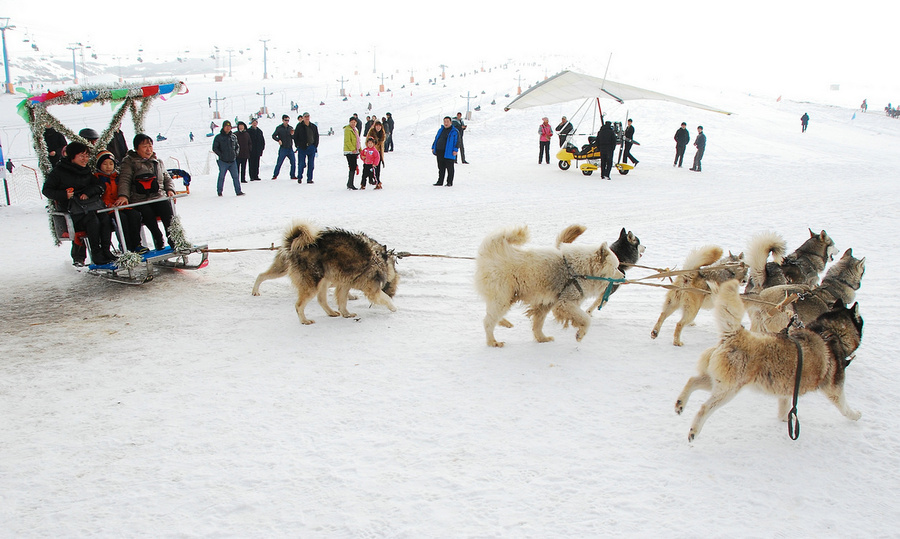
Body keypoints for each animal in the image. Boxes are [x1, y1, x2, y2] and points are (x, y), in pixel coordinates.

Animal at [250, 220, 398, 324]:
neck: (380, 258)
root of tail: (295, 244)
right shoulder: (370, 288)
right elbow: (384, 298)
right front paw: (393, 307)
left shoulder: (344, 284)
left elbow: (342, 301)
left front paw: (346, 313)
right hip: (313, 282)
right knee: (298, 305)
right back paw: (304, 320)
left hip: (321, 279)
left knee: (321, 299)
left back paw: (331, 312)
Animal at [474, 226, 624, 348]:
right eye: (615, 267)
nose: (624, 276)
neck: (580, 271)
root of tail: (490, 252)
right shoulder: (565, 303)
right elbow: (586, 319)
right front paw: (580, 334)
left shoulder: (546, 304)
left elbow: (538, 324)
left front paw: (542, 339)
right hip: (503, 298)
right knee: (488, 321)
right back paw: (493, 342)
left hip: (506, 298)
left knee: (492, 315)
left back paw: (504, 323)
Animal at [676, 278, 864, 442]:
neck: (829, 333)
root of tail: (736, 334)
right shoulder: (834, 388)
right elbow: (844, 407)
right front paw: (856, 415)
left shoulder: (787, 391)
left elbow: (784, 409)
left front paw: (786, 420)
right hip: (728, 390)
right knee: (704, 407)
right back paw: (694, 430)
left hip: (718, 381)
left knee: (693, 380)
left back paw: (680, 404)